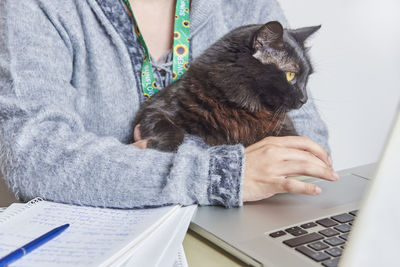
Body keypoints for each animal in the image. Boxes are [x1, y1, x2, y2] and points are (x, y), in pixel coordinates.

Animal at [133, 21, 320, 152]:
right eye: (291, 76)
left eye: (307, 77)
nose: (304, 99)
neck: (239, 108)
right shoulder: (155, 107)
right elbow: (167, 126)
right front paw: (161, 146)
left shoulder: (286, 130)